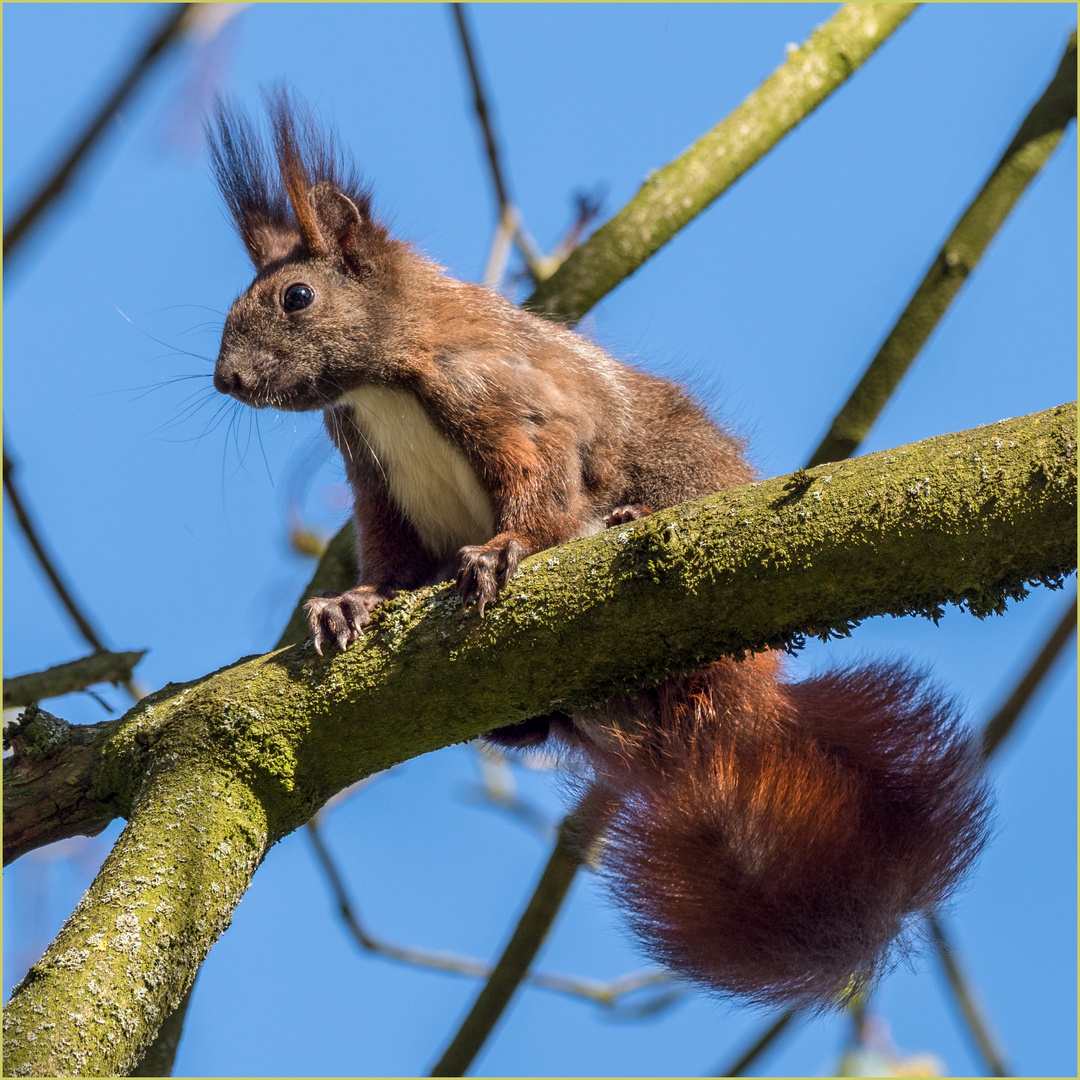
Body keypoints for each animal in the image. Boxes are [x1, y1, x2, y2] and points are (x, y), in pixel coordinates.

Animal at [208, 101, 989, 1002]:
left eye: (296, 297)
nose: (226, 380)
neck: (381, 385)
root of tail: (737, 721)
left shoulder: (518, 403)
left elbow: (542, 485)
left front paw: (504, 550)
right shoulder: (375, 487)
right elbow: (392, 563)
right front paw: (348, 604)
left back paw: (626, 524)